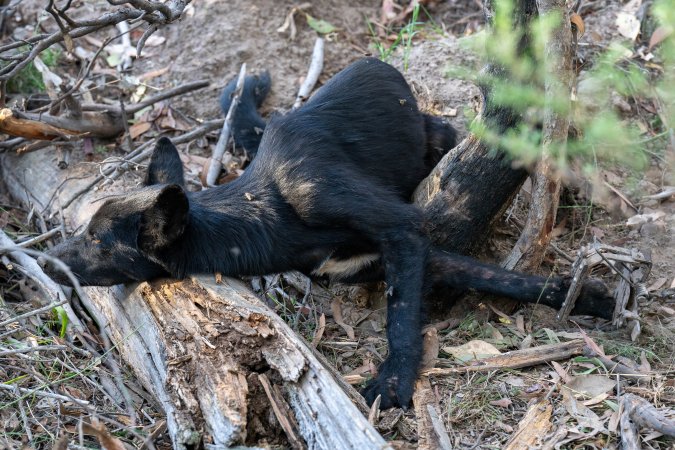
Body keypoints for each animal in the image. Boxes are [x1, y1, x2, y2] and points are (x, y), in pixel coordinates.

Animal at [45, 58, 616, 410]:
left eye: (99, 241)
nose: (47, 261)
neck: (265, 213)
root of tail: (378, 64)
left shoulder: (400, 232)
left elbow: (404, 313)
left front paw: (394, 380)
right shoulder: (383, 258)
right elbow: (491, 276)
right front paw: (586, 296)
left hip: (434, 138)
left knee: (459, 132)